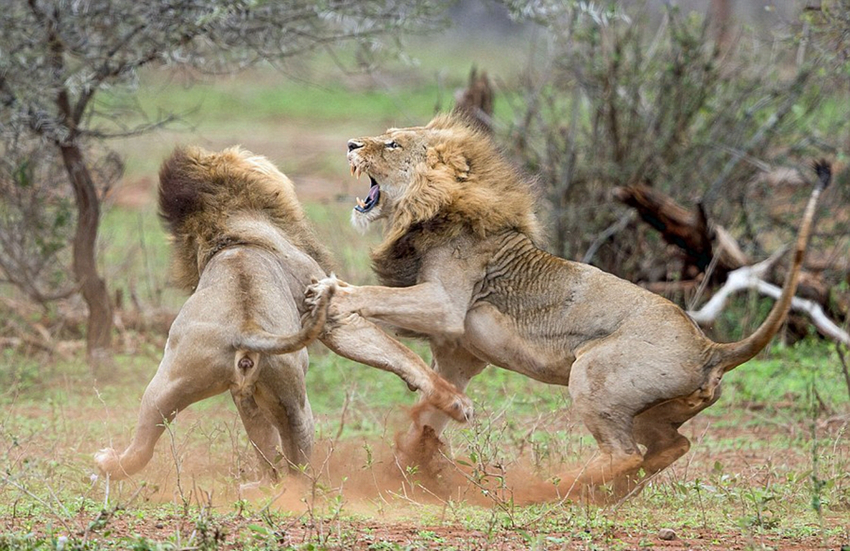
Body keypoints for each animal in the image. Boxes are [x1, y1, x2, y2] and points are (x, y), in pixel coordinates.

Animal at [95, 146, 471, 487]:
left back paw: (109, 464)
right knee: (295, 470)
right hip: (296, 401)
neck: (227, 233)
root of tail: (244, 330)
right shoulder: (328, 308)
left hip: (172, 381)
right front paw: (456, 402)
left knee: (149, 445)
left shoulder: (242, 394)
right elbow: (400, 353)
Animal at [313, 114, 830, 499]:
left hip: (593, 373)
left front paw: (328, 292)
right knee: (670, 446)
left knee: (624, 452)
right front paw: (415, 454)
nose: (351, 143)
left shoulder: (446, 305)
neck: (428, 211)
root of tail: (711, 349)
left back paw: (557, 487)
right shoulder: (461, 350)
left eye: (394, 144)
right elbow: (435, 401)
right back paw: (607, 495)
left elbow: (375, 294)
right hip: (654, 411)